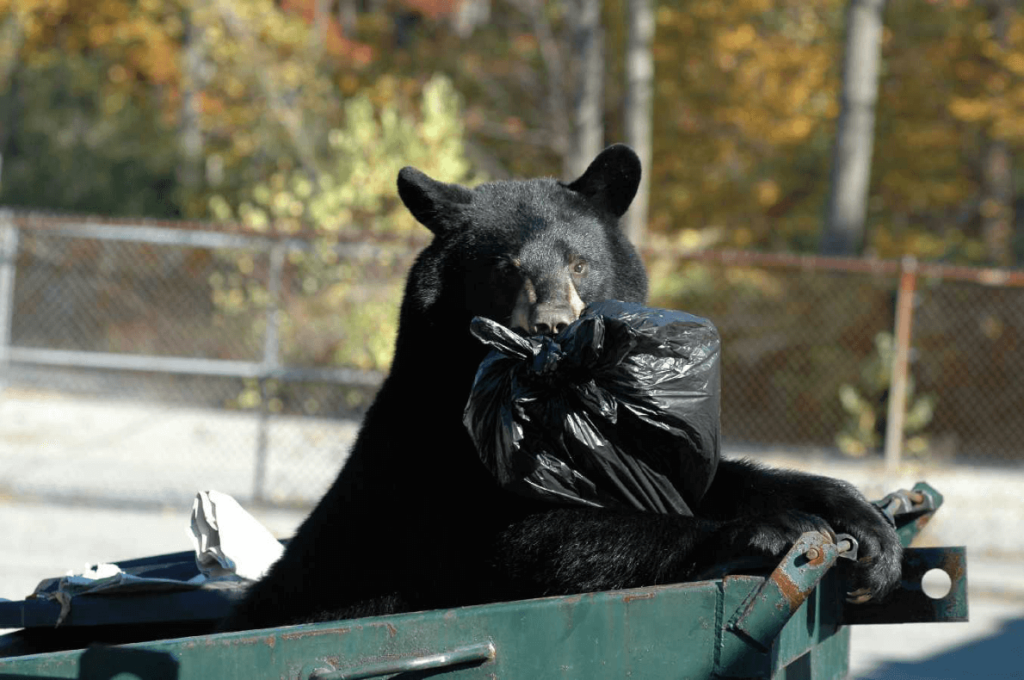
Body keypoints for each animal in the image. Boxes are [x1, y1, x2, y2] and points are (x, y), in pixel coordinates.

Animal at [222, 144, 897, 630]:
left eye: (579, 262)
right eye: (505, 267)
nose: (552, 324)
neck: (552, 404)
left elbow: (695, 477)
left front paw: (863, 524)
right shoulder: (440, 461)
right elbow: (520, 544)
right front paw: (777, 528)